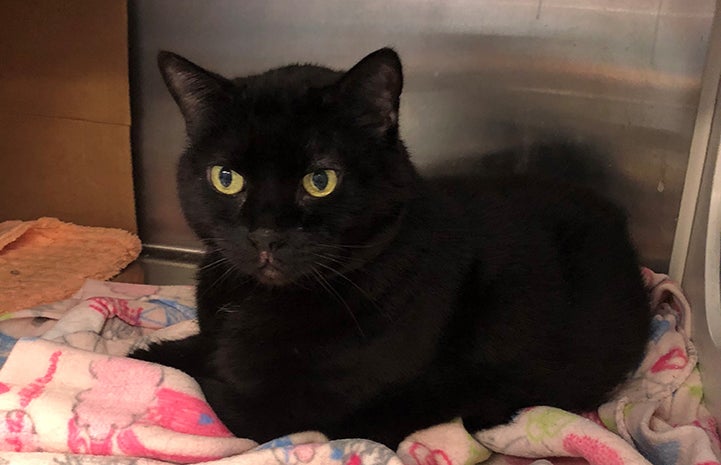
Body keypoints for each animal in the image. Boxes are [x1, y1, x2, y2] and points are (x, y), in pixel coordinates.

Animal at [131, 47, 652, 446]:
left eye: (321, 180)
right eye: (226, 178)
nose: (265, 235)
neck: (253, 302)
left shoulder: (293, 412)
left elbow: (202, 388)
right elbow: (179, 352)